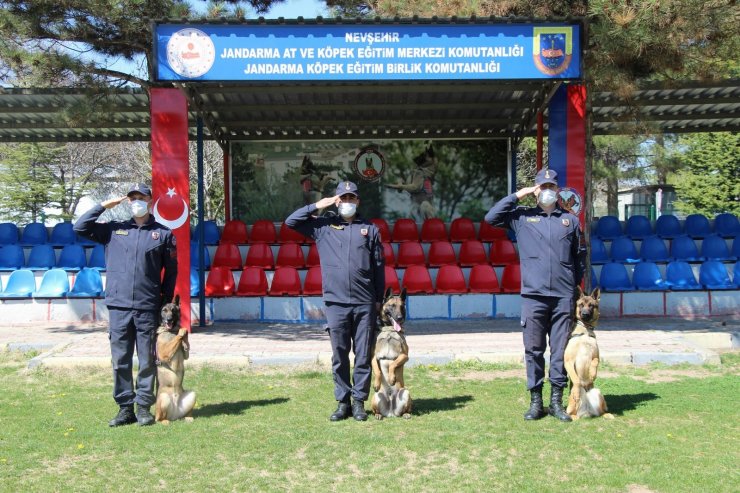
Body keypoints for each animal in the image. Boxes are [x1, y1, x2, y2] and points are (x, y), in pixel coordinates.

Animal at [155, 294, 197, 424]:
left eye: (173, 310)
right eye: (164, 310)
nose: (169, 319)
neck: (171, 331)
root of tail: (174, 416)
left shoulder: (185, 355)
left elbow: (186, 345)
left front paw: (184, 337)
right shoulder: (164, 353)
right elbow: (177, 338)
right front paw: (181, 333)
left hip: (193, 394)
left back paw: (188, 417)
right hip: (164, 398)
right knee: (159, 418)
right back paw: (164, 421)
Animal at [372, 284, 414, 418]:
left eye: (402, 306)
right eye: (392, 306)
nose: (399, 318)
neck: (390, 330)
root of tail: (391, 412)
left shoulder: (404, 356)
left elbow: (393, 364)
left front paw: (391, 378)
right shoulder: (373, 357)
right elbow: (377, 370)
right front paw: (377, 383)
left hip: (405, 392)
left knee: (407, 409)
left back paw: (406, 414)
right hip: (376, 396)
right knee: (376, 410)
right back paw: (378, 415)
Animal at [568, 284, 612, 418]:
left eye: (591, 305)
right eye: (581, 305)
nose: (585, 314)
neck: (585, 332)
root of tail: (587, 412)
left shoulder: (596, 356)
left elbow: (595, 361)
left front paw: (592, 374)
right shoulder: (568, 361)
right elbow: (576, 380)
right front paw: (577, 390)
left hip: (597, 392)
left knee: (602, 412)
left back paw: (608, 415)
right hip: (572, 404)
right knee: (572, 414)